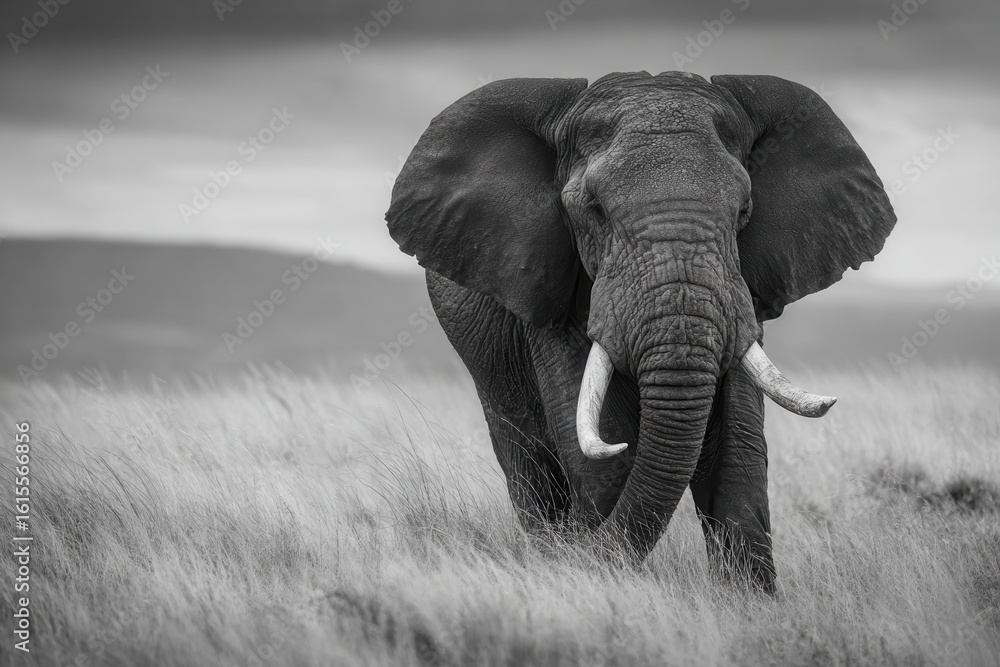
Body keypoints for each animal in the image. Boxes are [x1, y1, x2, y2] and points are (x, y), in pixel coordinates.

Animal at [384, 71, 895, 592]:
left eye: (744, 212)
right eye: (595, 211)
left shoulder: (742, 293)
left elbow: (738, 450)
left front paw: (753, 603)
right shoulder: (557, 293)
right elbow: (606, 457)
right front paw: (598, 578)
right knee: (528, 463)